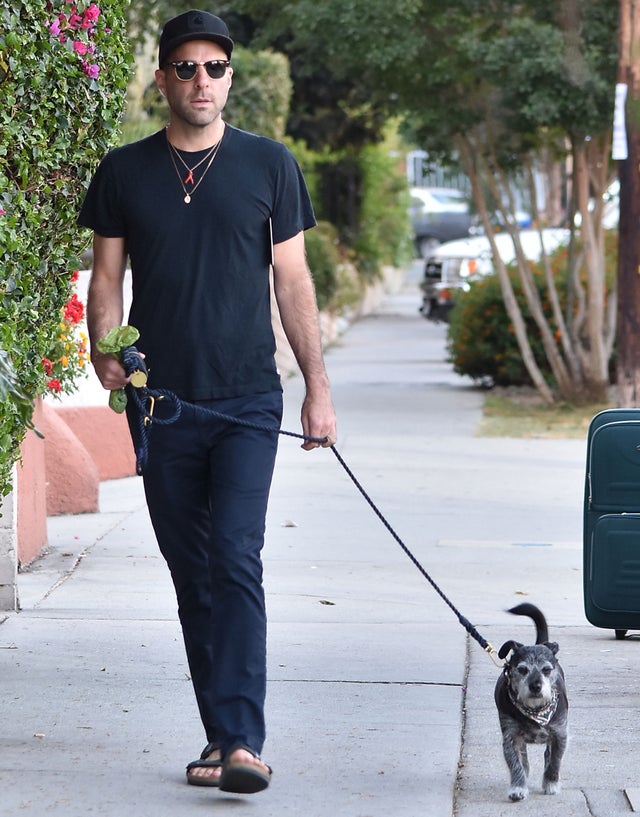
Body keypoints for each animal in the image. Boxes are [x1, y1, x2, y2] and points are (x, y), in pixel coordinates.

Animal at [492, 604, 568, 800]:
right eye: (522, 669)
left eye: (547, 669)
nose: (535, 686)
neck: (536, 710)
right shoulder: (510, 737)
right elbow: (515, 763)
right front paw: (518, 787)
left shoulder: (559, 734)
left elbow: (555, 761)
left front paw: (551, 783)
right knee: (524, 759)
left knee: (548, 754)